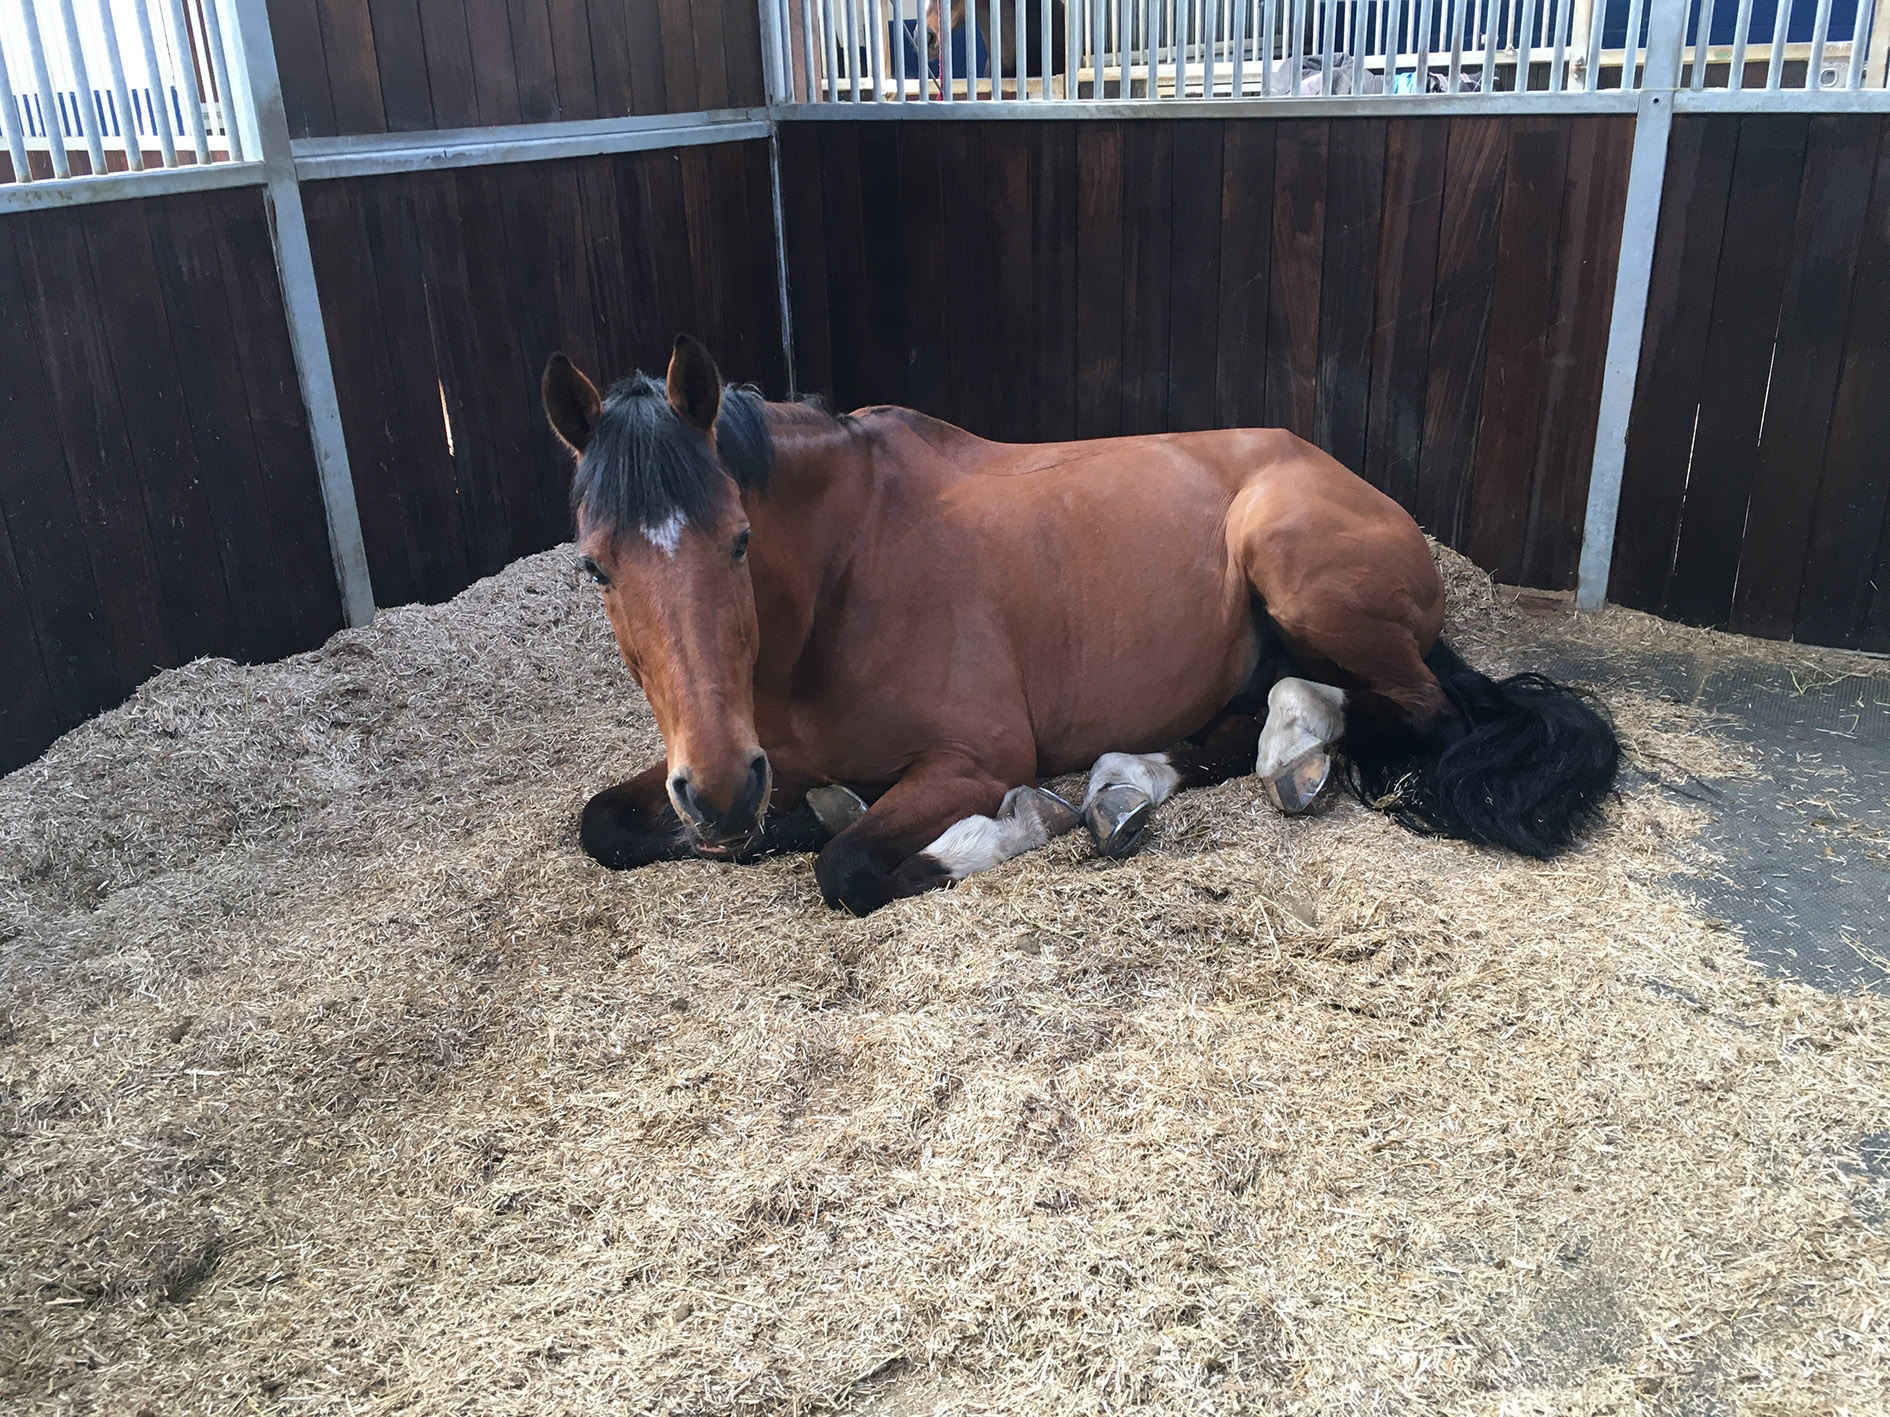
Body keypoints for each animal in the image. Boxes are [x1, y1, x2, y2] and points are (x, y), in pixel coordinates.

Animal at [540, 341, 1617, 921]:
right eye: (596, 564)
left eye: (738, 539)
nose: (723, 789)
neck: (841, 586)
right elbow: (605, 824)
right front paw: (798, 813)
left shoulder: (976, 758)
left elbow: (846, 869)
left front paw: (1010, 826)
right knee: (1230, 730)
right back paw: (1129, 785)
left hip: (1298, 566)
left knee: (1415, 713)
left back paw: (1283, 750)